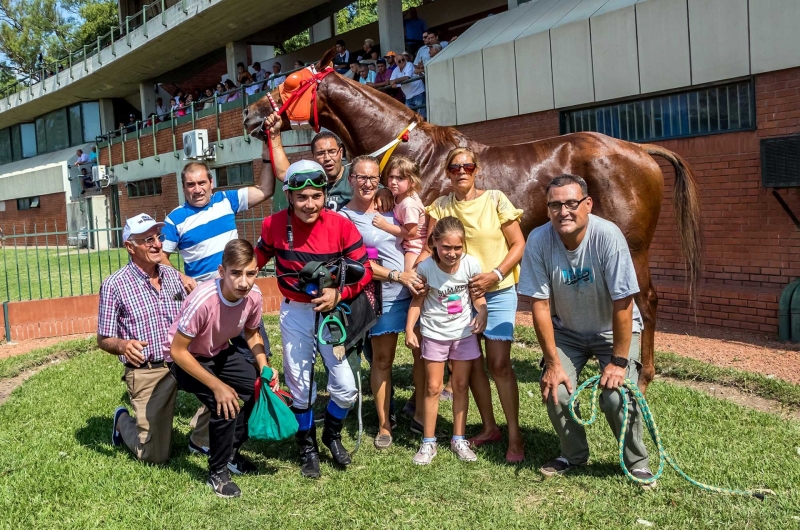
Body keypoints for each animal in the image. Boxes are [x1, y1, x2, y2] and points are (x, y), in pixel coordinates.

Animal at [244, 49, 700, 390]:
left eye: (289, 82)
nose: (251, 115)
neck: (418, 155)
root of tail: (638, 149)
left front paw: (446, 379)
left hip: (632, 245)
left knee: (646, 300)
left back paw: (643, 378)